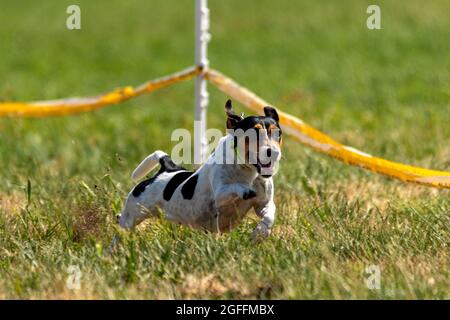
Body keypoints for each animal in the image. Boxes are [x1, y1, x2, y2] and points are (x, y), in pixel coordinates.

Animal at [118, 100, 284, 240]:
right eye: (254, 133)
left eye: (278, 133)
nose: (274, 153)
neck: (248, 171)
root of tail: (166, 169)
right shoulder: (220, 194)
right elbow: (234, 187)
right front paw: (245, 191)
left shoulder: (263, 203)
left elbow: (269, 215)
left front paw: (260, 233)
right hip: (134, 213)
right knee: (122, 226)